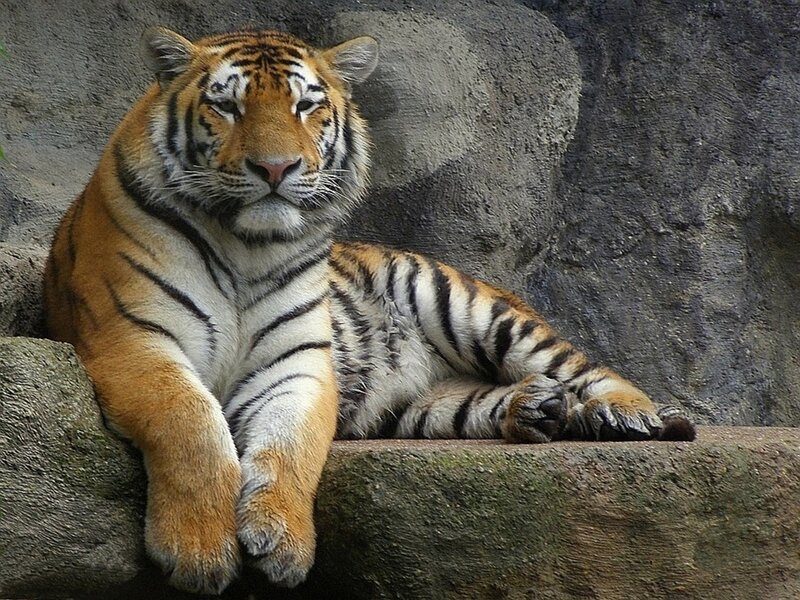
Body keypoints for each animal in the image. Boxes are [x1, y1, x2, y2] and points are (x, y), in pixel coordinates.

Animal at [43, 26, 695, 595]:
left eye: (305, 106)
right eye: (226, 106)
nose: (275, 168)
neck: (245, 245)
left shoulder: (299, 362)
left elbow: (291, 445)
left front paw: (282, 542)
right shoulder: (133, 340)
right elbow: (191, 423)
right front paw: (200, 551)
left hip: (468, 306)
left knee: (584, 367)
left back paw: (631, 415)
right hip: (422, 408)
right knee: (482, 403)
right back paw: (539, 409)